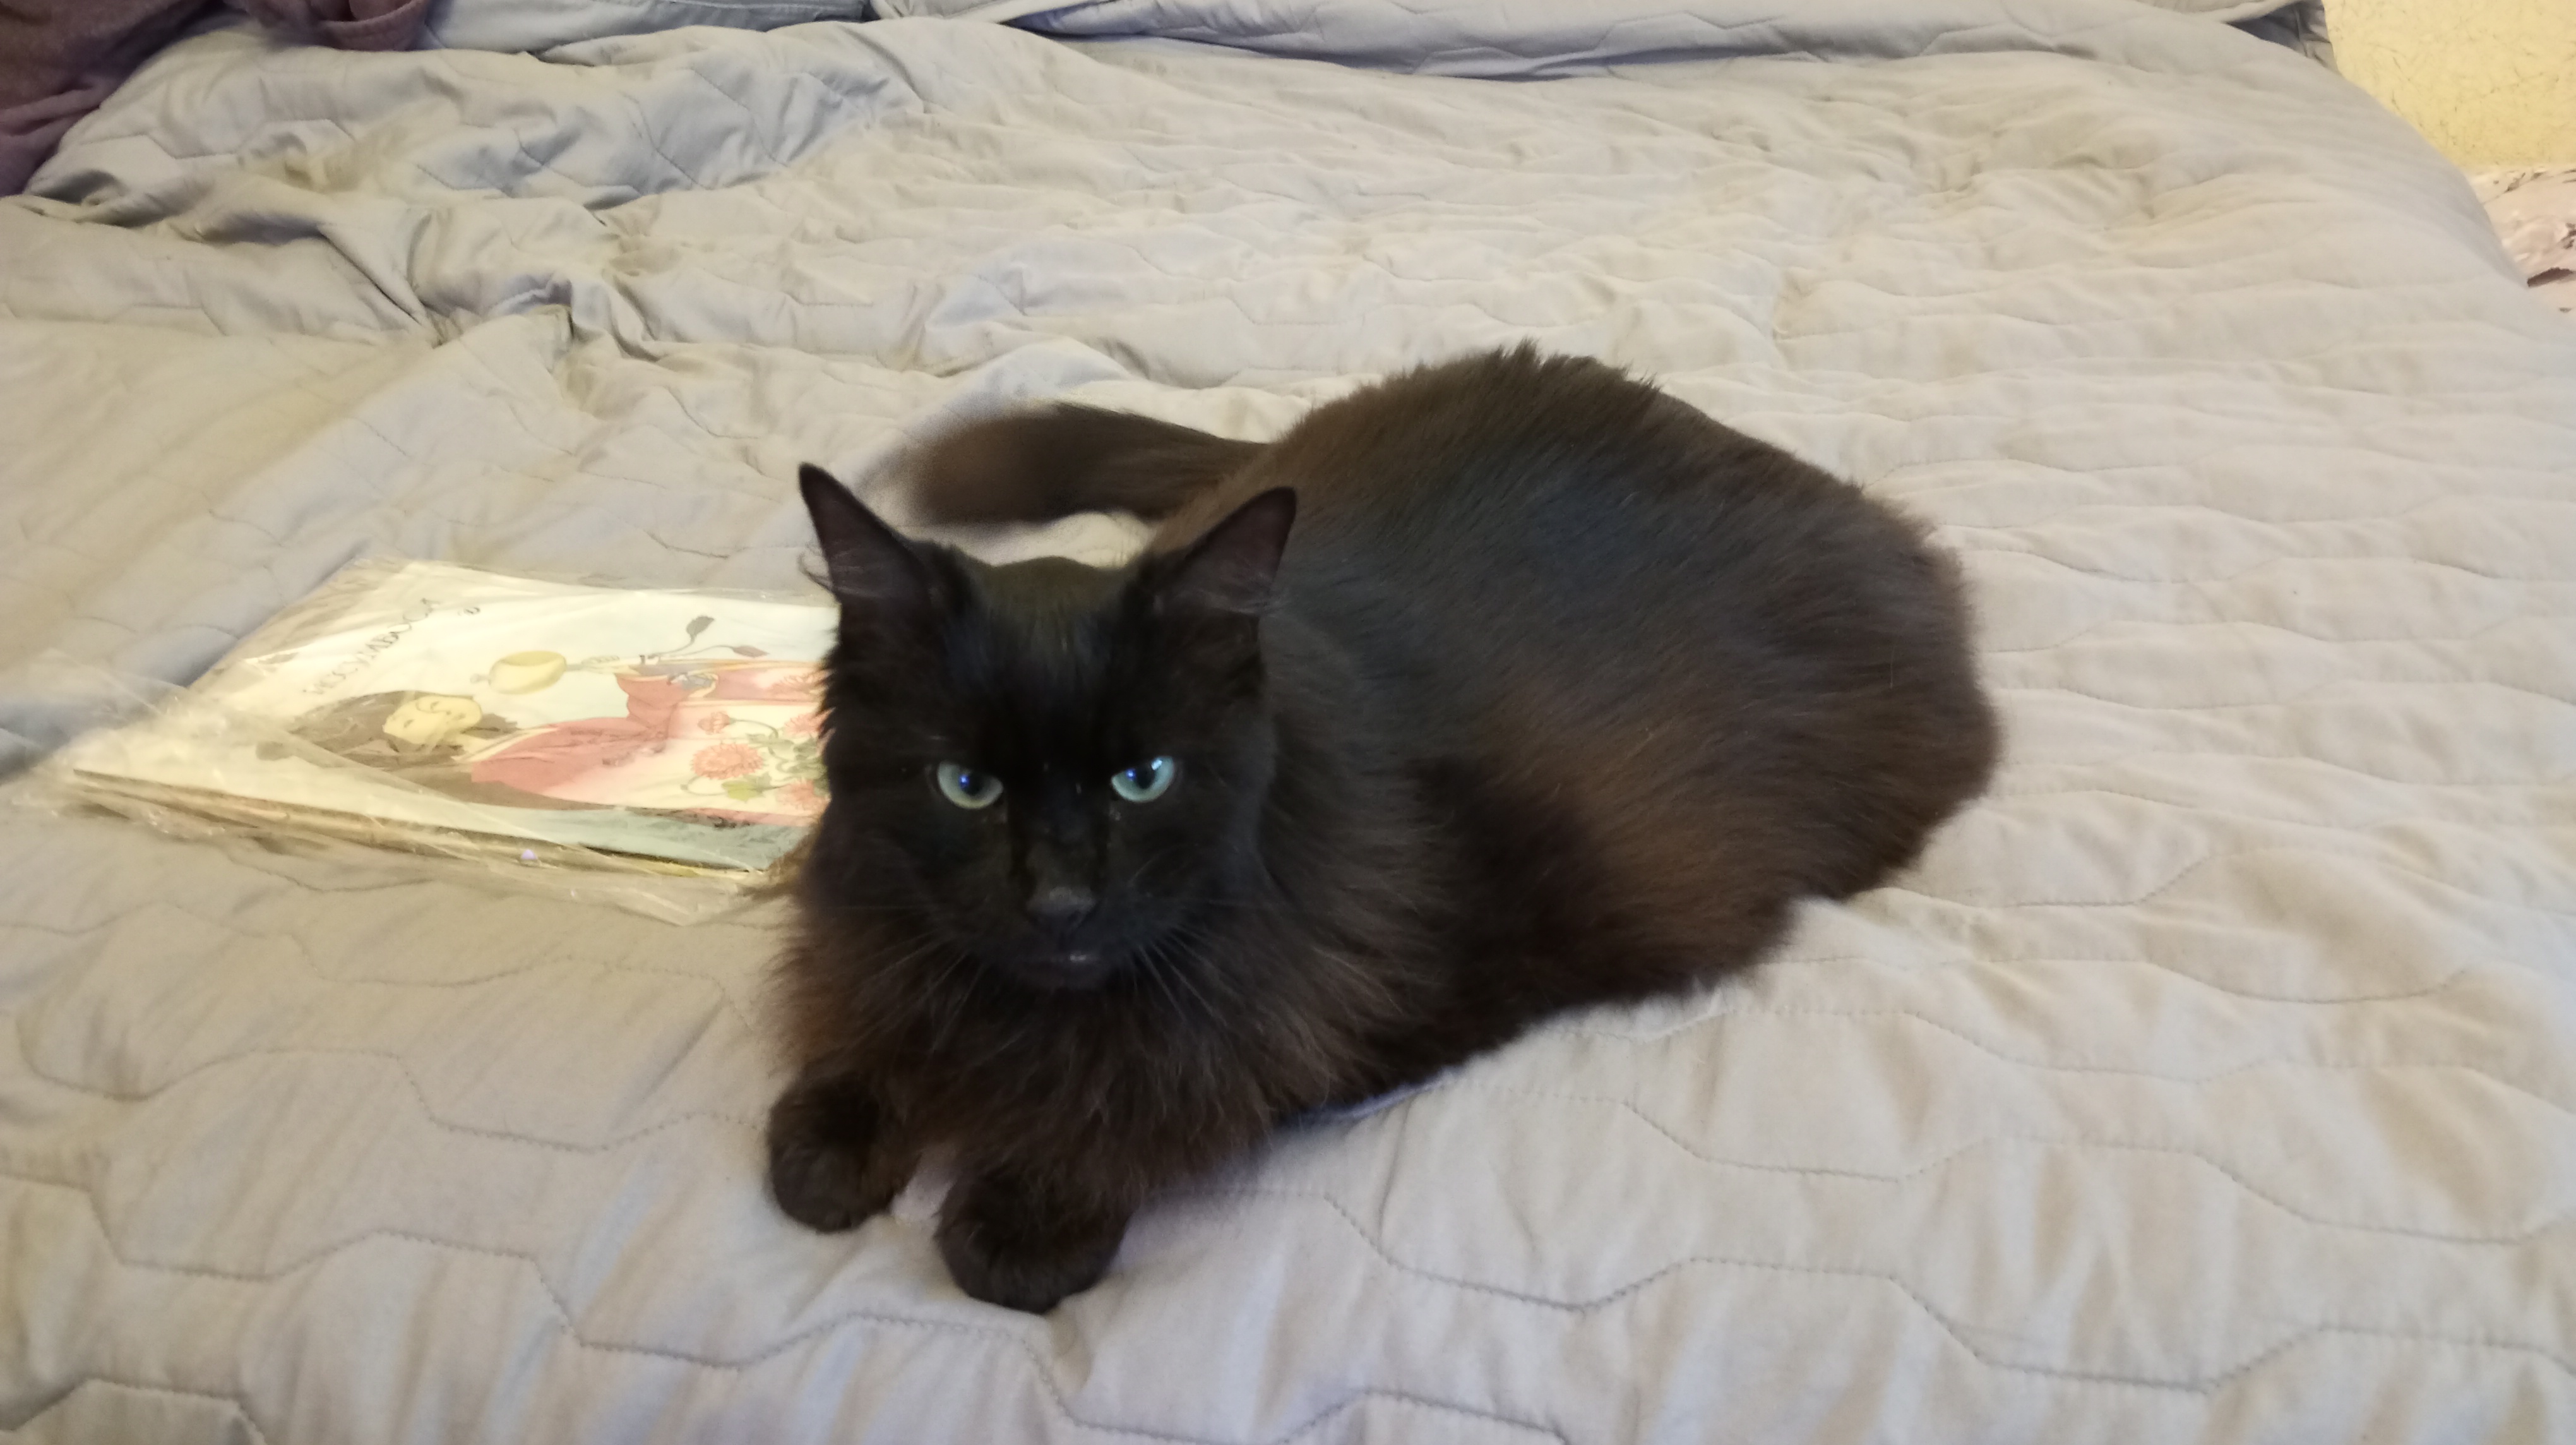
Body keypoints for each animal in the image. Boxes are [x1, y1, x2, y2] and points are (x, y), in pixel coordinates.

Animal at [769, 346, 1996, 1312]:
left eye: (1143, 778)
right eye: (966, 785)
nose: (1061, 900)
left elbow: (1143, 1098)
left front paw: (1027, 1210)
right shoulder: (883, 937)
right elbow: (867, 1022)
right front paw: (837, 1129)